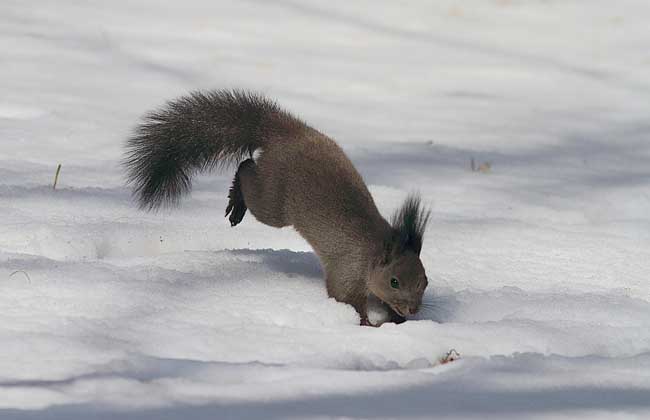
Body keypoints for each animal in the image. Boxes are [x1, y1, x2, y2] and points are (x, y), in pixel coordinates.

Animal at [126, 89, 430, 324]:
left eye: (424, 281)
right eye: (393, 281)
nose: (413, 309)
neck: (374, 249)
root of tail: (288, 133)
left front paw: (397, 320)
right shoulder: (347, 268)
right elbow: (345, 298)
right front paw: (367, 324)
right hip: (273, 201)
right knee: (247, 168)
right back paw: (237, 199)